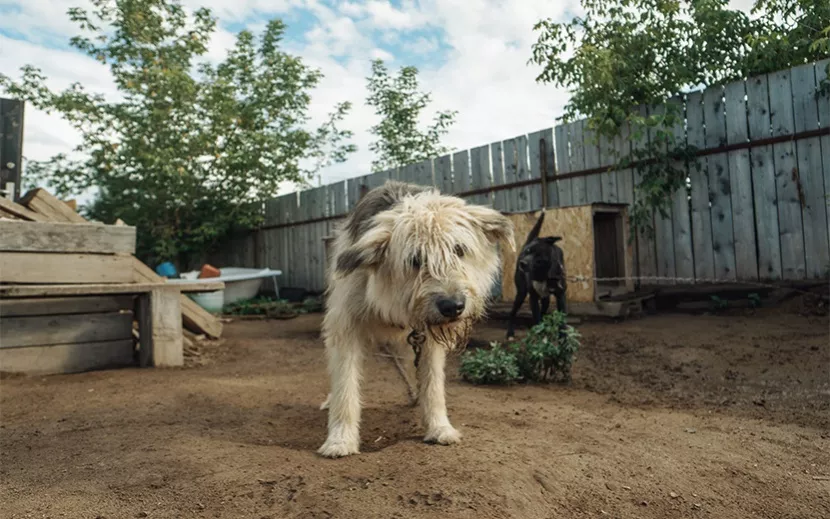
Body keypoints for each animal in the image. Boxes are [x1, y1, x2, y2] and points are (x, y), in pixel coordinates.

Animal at [318, 181, 512, 458]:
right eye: (415, 260)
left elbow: (433, 384)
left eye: (459, 250)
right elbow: (345, 384)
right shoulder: (345, 325)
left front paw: (439, 427)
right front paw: (340, 439)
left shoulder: (428, 339)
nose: (453, 307)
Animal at [508, 212, 564, 342]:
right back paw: (510, 333)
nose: (522, 263)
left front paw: (564, 340)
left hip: (545, 298)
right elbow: (537, 318)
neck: (544, 274)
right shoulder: (532, 297)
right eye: (528, 251)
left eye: (539, 258)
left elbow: (562, 321)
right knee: (512, 313)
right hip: (521, 293)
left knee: (544, 308)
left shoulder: (560, 295)